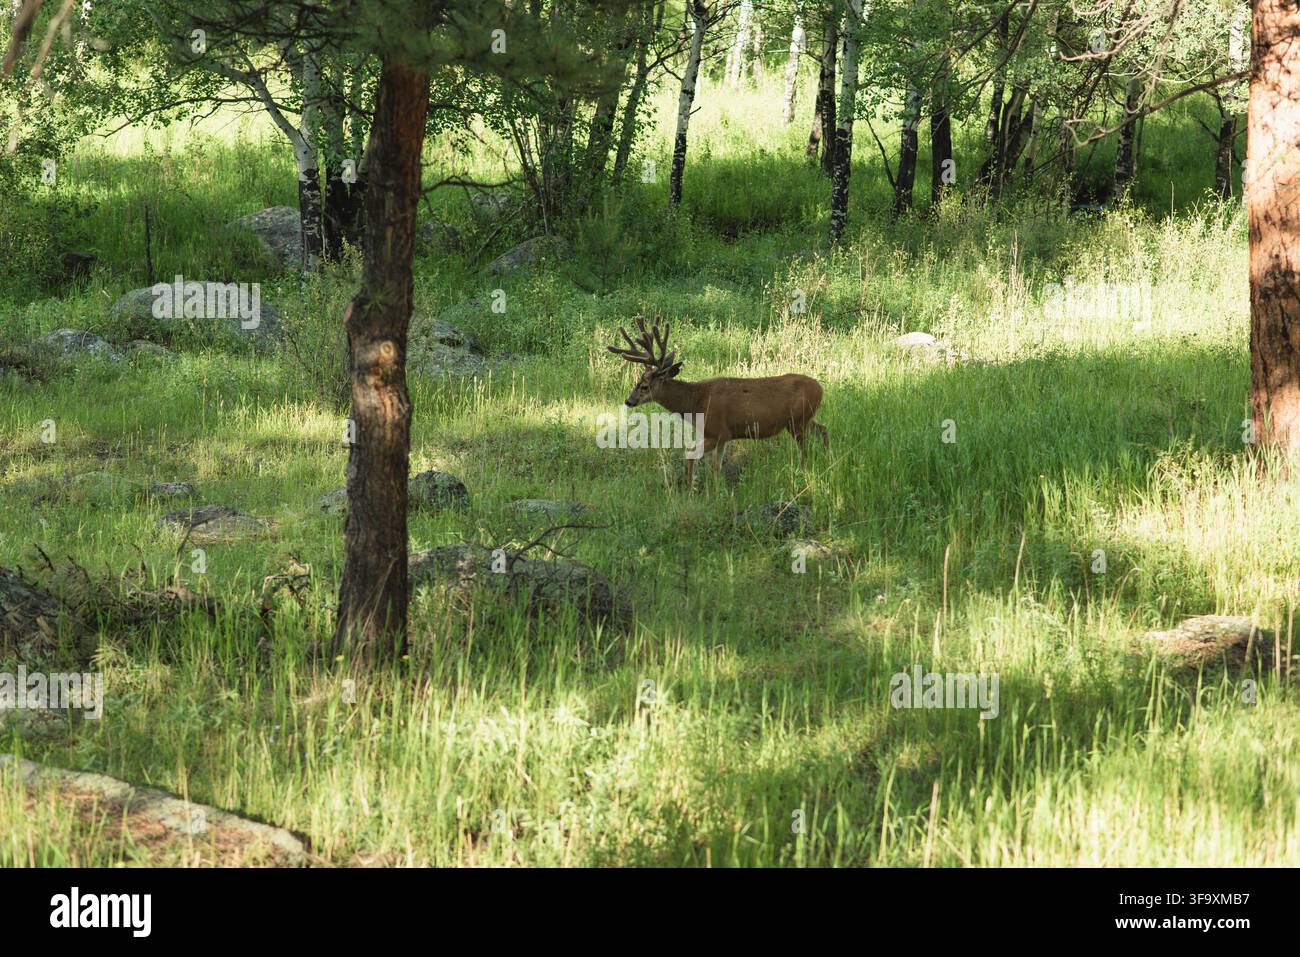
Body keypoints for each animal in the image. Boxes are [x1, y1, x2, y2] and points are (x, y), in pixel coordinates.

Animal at [607, 317, 827, 488]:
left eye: (644, 386)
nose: (628, 401)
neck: (695, 403)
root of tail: (821, 388)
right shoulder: (724, 437)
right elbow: (717, 466)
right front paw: (715, 489)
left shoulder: (718, 431)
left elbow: (692, 454)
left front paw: (693, 488)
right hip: (803, 419)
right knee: (824, 430)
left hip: (798, 421)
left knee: (804, 449)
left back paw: (803, 473)